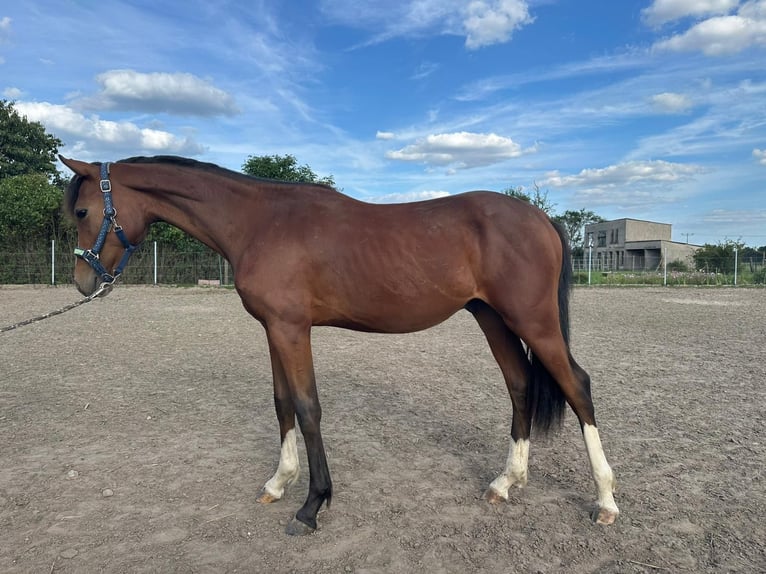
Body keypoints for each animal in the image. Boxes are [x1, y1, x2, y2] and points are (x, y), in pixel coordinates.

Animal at [60, 155, 619, 535]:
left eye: (83, 211)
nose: (84, 283)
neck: (260, 222)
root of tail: (540, 218)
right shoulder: (274, 329)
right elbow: (283, 403)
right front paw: (278, 483)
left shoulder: (292, 329)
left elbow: (308, 408)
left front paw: (312, 506)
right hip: (493, 320)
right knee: (520, 385)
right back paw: (507, 482)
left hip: (534, 322)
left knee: (578, 386)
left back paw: (606, 501)